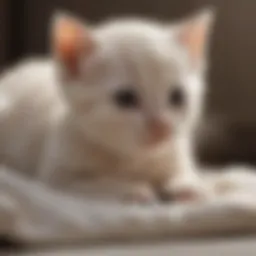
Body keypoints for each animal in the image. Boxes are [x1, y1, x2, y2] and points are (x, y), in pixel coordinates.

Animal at [0, 9, 214, 202]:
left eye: (178, 96)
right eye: (125, 98)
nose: (161, 128)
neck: (132, 159)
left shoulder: (175, 151)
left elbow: (186, 173)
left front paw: (187, 186)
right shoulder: (56, 178)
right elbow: (95, 184)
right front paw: (132, 189)